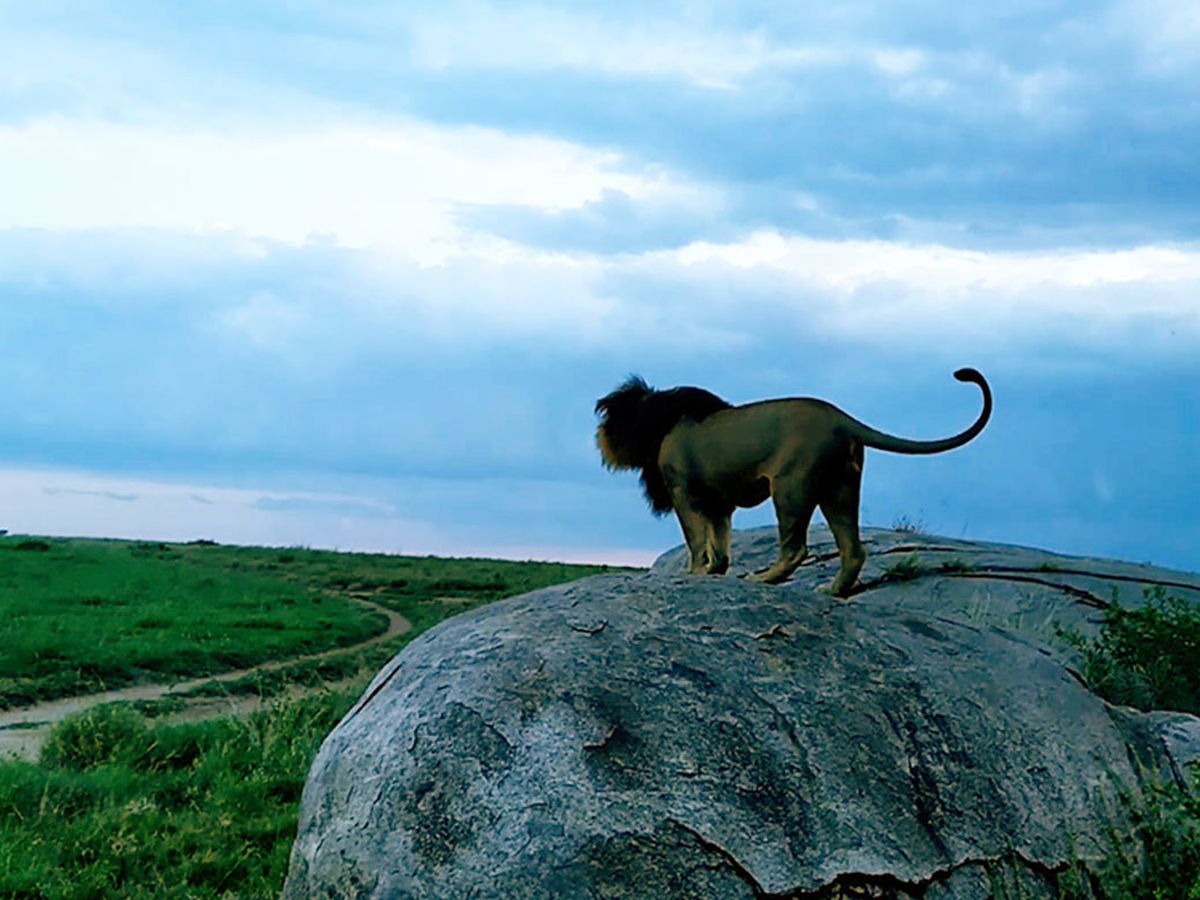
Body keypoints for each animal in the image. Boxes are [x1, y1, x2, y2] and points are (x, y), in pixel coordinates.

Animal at [592, 367, 993, 600]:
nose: (599, 436)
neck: (661, 421)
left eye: (610, 416)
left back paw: (762, 579)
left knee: (795, 549)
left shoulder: (683, 492)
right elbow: (719, 544)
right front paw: (715, 571)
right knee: (853, 550)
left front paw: (694, 573)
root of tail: (842, 419)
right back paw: (830, 590)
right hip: (839, 488)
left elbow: (695, 540)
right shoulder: (719, 503)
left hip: (790, 487)